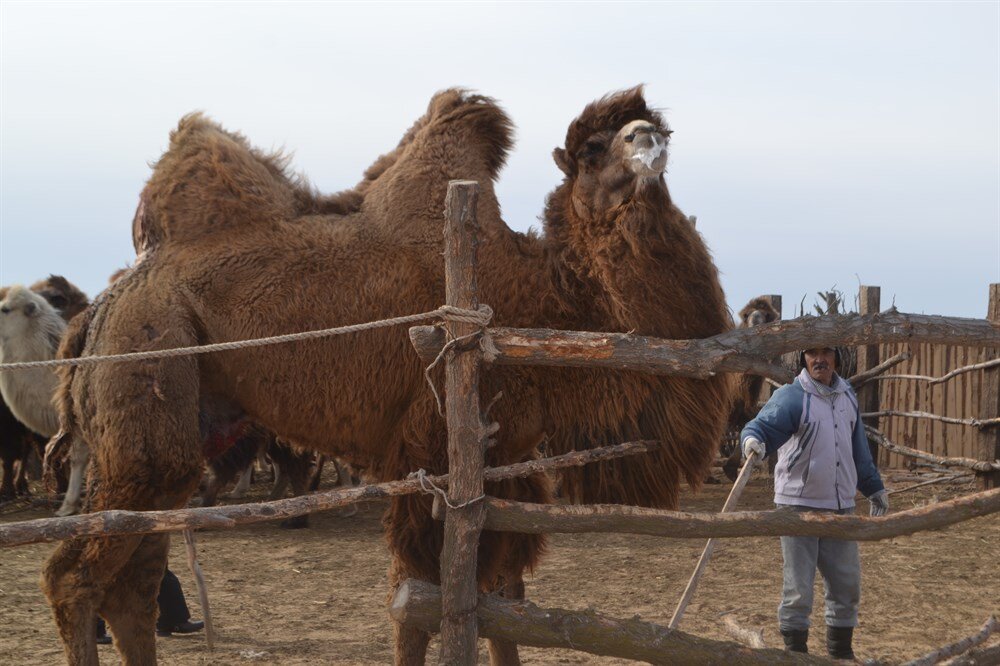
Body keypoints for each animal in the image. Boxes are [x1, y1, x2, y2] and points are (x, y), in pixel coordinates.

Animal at [45, 88, 736, 664]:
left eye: (658, 125)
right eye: (594, 148)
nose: (648, 138)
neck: (536, 299)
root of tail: (102, 308)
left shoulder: (507, 465)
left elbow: (501, 599)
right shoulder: (431, 453)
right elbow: (420, 604)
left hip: (176, 430)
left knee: (132, 588)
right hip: (149, 371)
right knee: (73, 577)